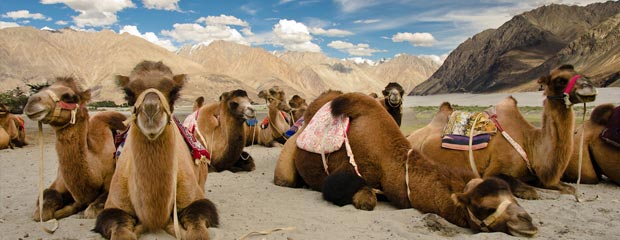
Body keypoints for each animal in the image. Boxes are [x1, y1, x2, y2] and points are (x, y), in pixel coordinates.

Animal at [22, 77, 126, 221]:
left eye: (69, 97)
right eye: (43, 88)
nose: (31, 102)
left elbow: (92, 210)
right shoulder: (58, 183)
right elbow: (43, 208)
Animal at [93, 61, 217, 239]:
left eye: (174, 92)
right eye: (129, 93)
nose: (151, 110)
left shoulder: (197, 200)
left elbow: (197, 232)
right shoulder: (114, 207)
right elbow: (121, 231)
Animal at [274, 92, 536, 236]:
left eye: (514, 199)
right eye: (486, 207)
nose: (528, 221)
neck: (390, 162)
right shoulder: (340, 175)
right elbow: (366, 200)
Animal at [406, 65, 596, 199]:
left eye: (579, 72)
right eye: (560, 80)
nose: (589, 87)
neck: (529, 142)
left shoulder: (538, 173)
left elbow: (569, 188)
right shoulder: (494, 171)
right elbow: (530, 191)